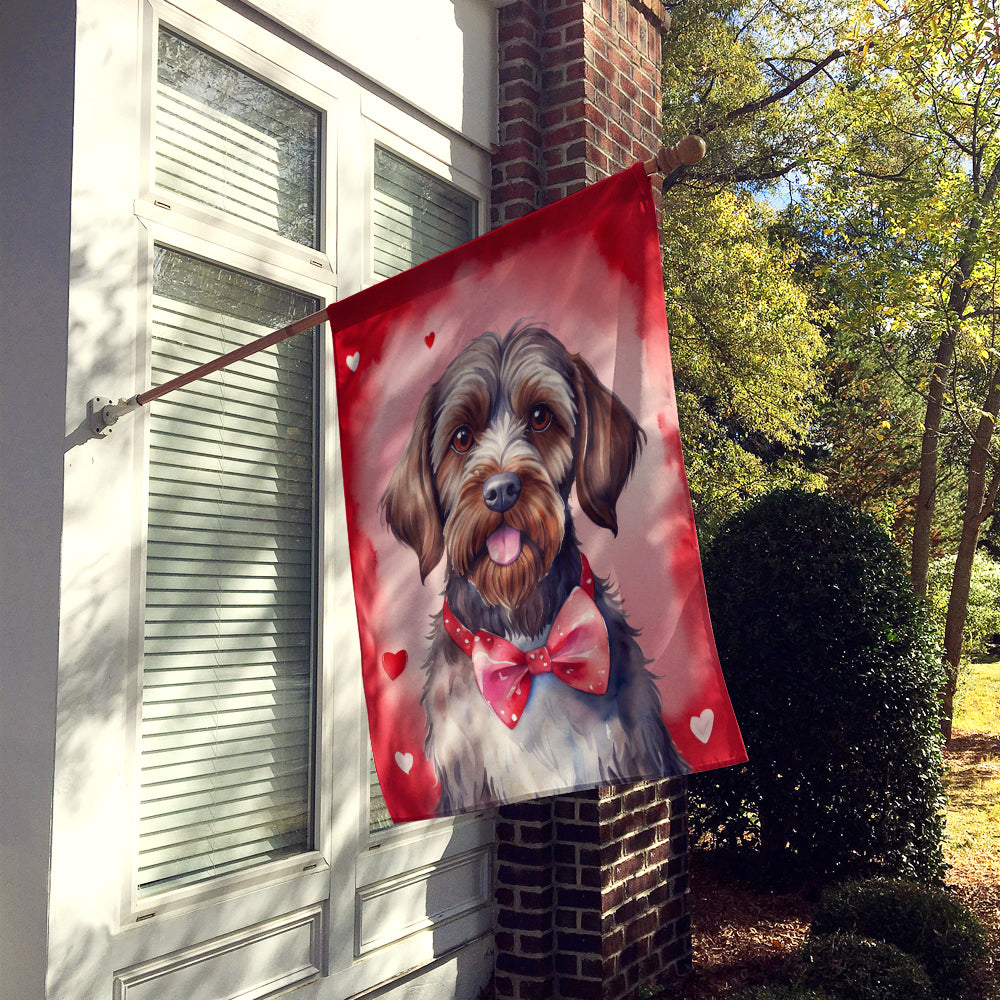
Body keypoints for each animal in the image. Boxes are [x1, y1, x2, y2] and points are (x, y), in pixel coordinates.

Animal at [378, 320, 684, 812]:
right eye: (461, 437)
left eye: (541, 416)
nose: (501, 490)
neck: (525, 634)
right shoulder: (465, 778)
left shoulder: (632, 750)